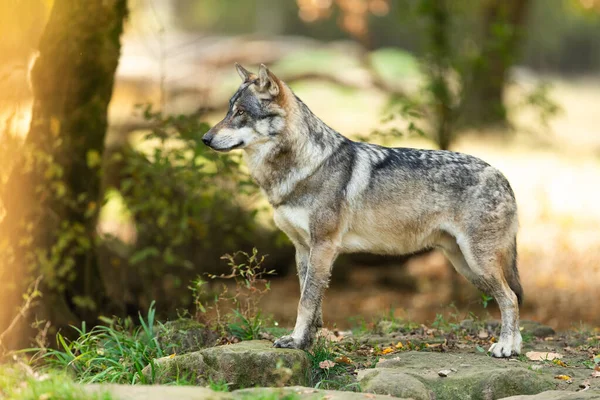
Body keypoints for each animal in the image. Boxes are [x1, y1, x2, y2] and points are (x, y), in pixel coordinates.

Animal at [200, 64, 520, 358]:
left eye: (241, 112)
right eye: (228, 110)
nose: (204, 138)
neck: (304, 167)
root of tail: (502, 176)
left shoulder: (324, 246)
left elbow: (306, 301)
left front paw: (296, 340)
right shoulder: (303, 249)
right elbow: (310, 301)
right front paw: (307, 342)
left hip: (477, 263)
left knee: (510, 299)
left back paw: (505, 347)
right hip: (467, 266)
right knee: (513, 296)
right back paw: (515, 346)